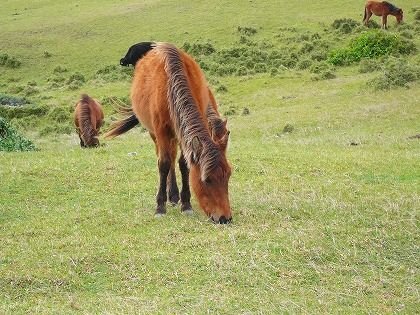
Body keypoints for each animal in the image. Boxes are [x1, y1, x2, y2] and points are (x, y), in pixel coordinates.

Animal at [106, 42, 233, 225]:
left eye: (229, 175)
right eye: (207, 179)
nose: (225, 218)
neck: (170, 86)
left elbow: (184, 164)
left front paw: (186, 204)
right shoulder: (161, 131)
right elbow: (164, 164)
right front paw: (160, 206)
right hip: (156, 134)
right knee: (165, 157)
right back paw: (170, 195)